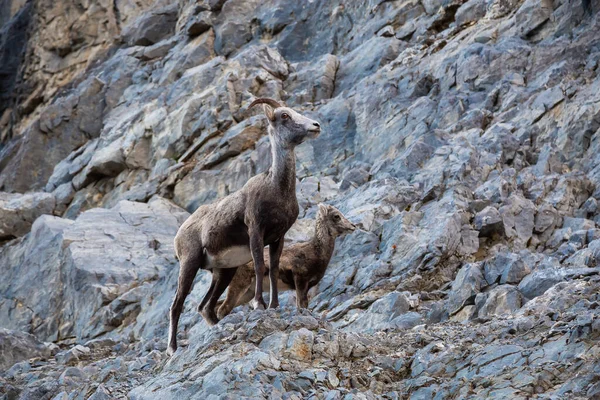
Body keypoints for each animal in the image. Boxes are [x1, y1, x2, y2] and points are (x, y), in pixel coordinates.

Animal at [166, 98, 322, 354]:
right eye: (284, 115)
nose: (315, 126)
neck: (276, 188)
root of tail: (178, 236)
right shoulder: (255, 232)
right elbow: (259, 266)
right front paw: (260, 303)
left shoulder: (278, 238)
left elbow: (273, 268)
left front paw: (274, 305)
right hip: (189, 264)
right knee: (177, 304)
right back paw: (172, 348)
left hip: (223, 272)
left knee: (205, 307)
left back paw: (217, 328)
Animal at [217, 203, 354, 318]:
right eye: (336, 216)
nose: (353, 226)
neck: (315, 252)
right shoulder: (300, 281)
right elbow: (301, 305)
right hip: (239, 285)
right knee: (222, 309)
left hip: (247, 293)